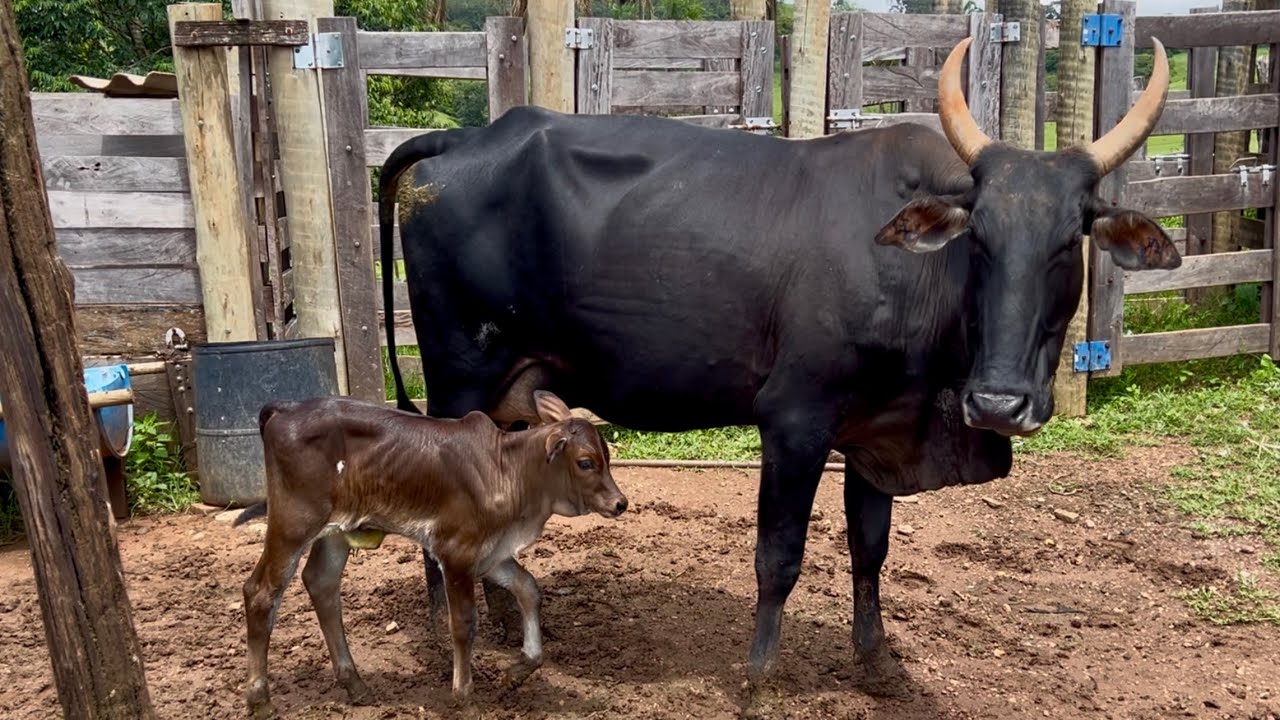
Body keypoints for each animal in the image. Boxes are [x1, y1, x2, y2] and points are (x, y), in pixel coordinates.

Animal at [234, 390, 628, 716]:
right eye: (586, 462)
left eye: (606, 457)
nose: (619, 503)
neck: (509, 471)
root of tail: (287, 408)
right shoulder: (456, 552)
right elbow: (464, 623)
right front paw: (464, 697)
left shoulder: (492, 554)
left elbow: (529, 589)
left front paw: (518, 670)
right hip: (294, 521)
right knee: (261, 593)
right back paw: (260, 699)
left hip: (336, 532)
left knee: (322, 585)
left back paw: (355, 684)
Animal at [376, 37, 1175, 704]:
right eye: (978, 239)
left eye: (1068, 241)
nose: (1001, 403)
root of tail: (472, 135)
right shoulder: (795, 421)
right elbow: (779, 555)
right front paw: (759, 675)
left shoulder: (876, 430)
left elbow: (870, 549)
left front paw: (876, 662)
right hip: (459, 378)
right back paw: (445, 627)